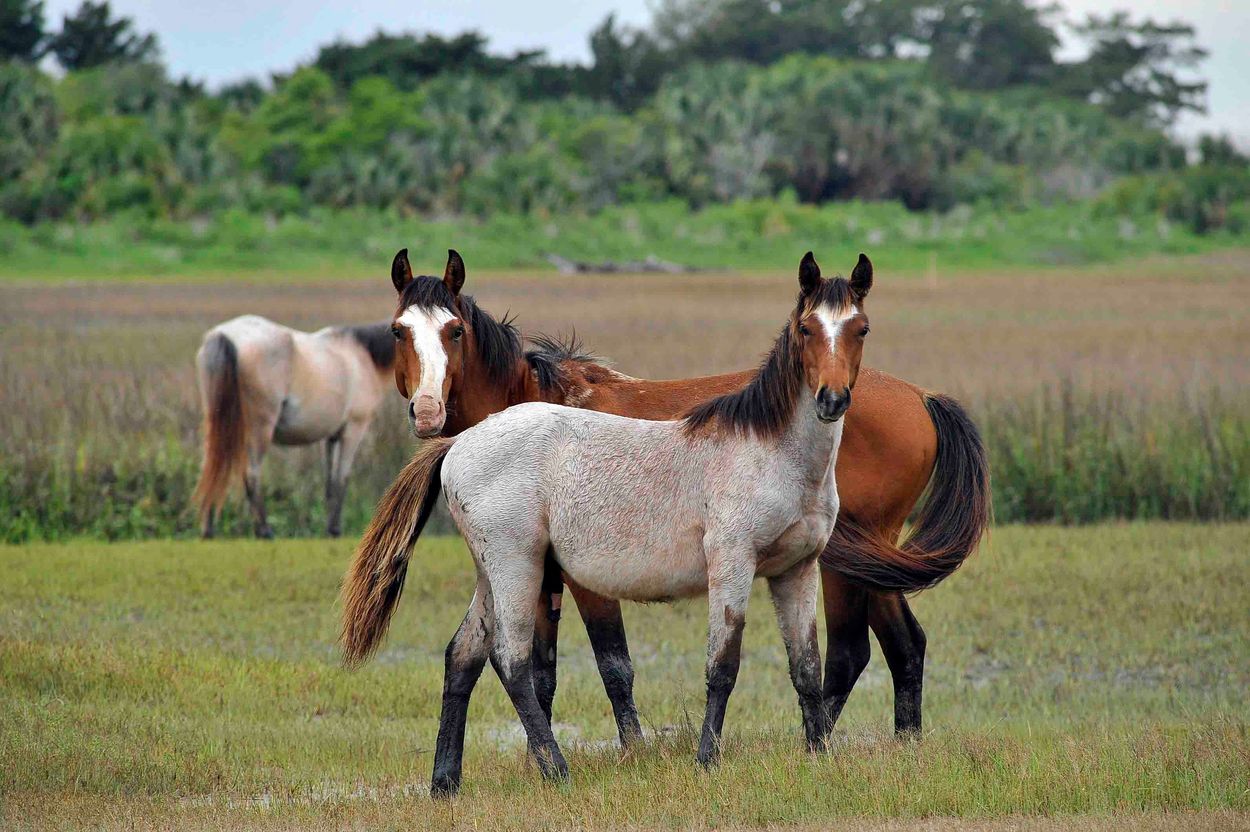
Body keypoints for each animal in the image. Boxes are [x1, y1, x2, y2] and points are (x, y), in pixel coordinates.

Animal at [193, 315, 397, 538]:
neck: (364, 355)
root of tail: (225, 335)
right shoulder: (353, 429)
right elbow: (342, 478)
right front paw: (335, 529)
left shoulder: (330, 437)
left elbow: (330, 482)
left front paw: (329, 529)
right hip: (259, 429)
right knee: (251, 474)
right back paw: (264, 531)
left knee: (211, 468)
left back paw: (208, 530)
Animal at [346, 248, 988, 749]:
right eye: (399, 331)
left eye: (454, 331)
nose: (428, 413)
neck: (533, 396)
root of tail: (921, 397)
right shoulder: (546, 572)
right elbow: (544, 670)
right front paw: (539, 756)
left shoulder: (583, 579)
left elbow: (613, 666)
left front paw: (631, 751)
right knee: (904, 645)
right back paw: (903, 743)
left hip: (848, 564)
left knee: (854, 652)